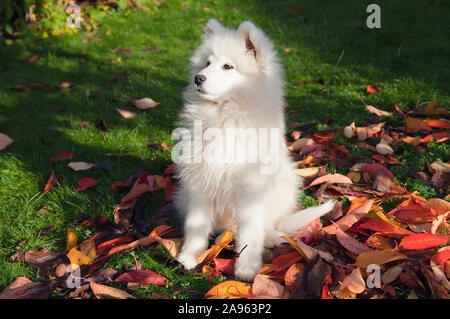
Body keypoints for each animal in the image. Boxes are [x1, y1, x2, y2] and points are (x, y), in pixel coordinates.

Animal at [174, 18, 336, 282]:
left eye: (228, 66)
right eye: (207, 63)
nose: (198, 78)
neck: (226, 115)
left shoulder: (251, 188)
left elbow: (250, 232)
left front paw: (247, 268)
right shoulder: (199, 182)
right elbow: (195, 225)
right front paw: (189, 257)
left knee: (268, 225)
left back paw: (268, 237)